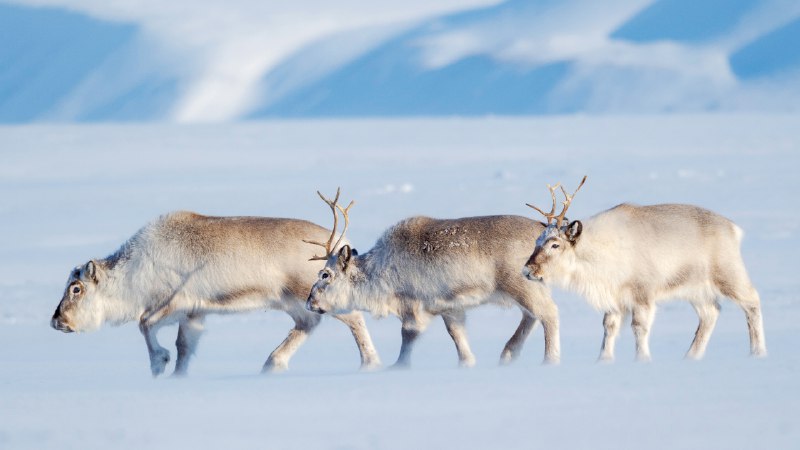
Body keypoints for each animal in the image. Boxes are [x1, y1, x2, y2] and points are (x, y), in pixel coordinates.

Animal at [51, 208, 381, 377]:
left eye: (76, 288)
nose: (57, 321)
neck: (133, 272)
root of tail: (342, 244)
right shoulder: (194, 314)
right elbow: (184, 347)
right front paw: (177, 377)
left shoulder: (176, 301)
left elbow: (145, 324)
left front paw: (159, 363)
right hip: (293, 301)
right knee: (307, 324)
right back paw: (271, 364)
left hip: (311, 293)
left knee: (353, 317)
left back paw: (370, 363)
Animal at [304, 189, 560, 368]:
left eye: (325, 274)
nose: (309, 302)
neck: (378, 272)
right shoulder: (451, 308)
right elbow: (458, 339)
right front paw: (466, 363)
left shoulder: (413, 307)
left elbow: (407, 339)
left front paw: (398, 367)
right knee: (531, 317)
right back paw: (508, 355)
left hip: (521, 285)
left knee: (548, 314)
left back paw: (550, 360)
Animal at [523, 176, 766, 362]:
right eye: (537, 241)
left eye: (555, 244)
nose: (527, 270)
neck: (595, 257)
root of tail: (734, 229)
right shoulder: (614, 299)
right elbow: (609, 328)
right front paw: (603, 360)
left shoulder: (642, 293)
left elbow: (639, 328)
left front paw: (642, 359)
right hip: (695, 289)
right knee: (711, 313)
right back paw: (690, 356)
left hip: (728, 274)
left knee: (752, 301)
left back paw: (758, 352)